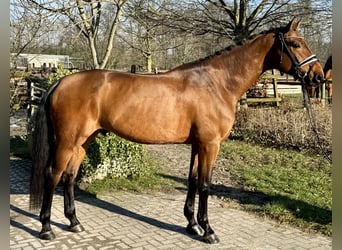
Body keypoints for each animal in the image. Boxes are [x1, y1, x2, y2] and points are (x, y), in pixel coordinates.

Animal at [29, 20, 324, 244]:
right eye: (296, 44)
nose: (318, 76)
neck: (217, 83)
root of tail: (60, 82)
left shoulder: (197, 144)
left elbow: (192, 181)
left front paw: (192, 225)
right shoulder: (210, 144)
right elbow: (205, 185)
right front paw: (208, 231)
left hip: (83, 141)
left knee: (69, 177)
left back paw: (74, 222)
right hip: (67, 141)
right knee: (53, 175)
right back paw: (46, 229)